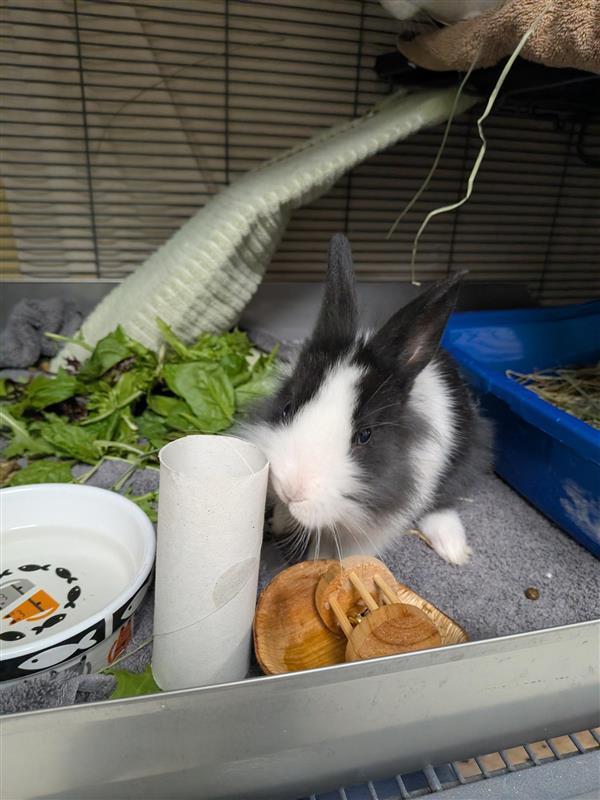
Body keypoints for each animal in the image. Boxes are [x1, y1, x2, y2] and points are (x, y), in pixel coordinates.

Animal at [241, 234, 492, 566]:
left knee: (446, 499)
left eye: (365, 436)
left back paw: (452, 548)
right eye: (287, 408)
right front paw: (283, 520)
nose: (290, 489)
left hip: (468, 453)